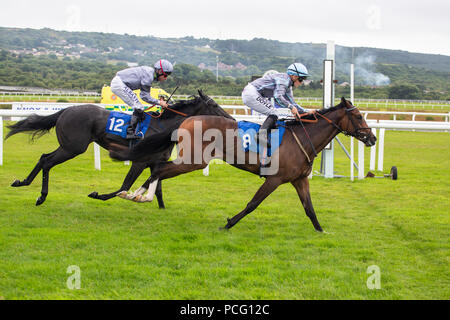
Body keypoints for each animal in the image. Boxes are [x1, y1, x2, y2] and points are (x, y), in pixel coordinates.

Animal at [6, 90, 232, 205]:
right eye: (214, 105)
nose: (230, 118)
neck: (163, 127)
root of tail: (66, 110)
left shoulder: (155, 162)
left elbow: (157, 185)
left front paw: (155, 205)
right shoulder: (140, 161)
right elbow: (125, 186)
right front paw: (99, 195)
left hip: (69, 146)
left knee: (44, 157)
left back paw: (23, 183)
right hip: (73, 147)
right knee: (47, 161)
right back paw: (40, 195)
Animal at [110, 96, 378, 231]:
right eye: (358, 116)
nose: (373, 138)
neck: (302, 137)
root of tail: (186, 120)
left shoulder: (300, 180)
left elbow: (309, 208)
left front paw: (321, 230)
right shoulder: (275, 179)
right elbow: (253, 204)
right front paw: (228, 224)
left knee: (157, 170)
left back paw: (134, 194)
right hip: (193, 161)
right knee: (159, 169)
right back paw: (139, 195)